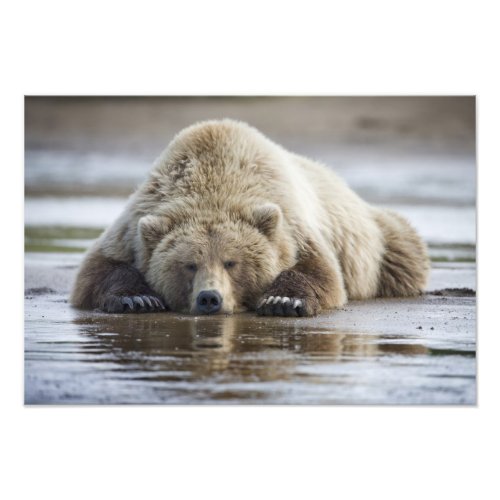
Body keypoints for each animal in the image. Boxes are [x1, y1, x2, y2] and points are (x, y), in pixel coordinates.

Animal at [70, 119, 430, 316]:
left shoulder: (292, 223)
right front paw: (138, 298)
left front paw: (283, 300)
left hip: (379, 239)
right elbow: (97, 270)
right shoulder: (136, 222)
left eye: (232, 262)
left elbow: (321, 272)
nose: (209, 298)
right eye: (189, 264)